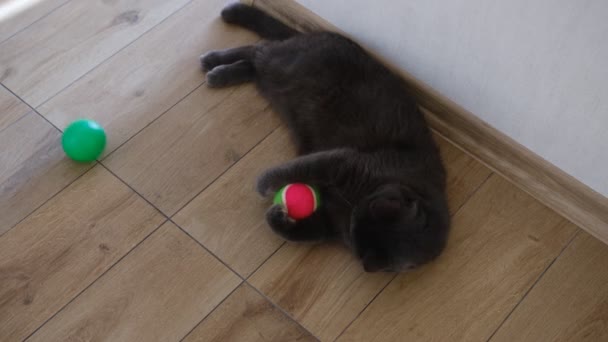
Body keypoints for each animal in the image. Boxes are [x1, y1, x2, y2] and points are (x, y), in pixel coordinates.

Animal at [202, 1, 448, 272]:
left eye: (355, 229)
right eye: (368, 207)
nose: (354, 213)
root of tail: (321, 35)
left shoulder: (330, 223)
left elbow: (303, 232)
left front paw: (276, 215)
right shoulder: (342, 162)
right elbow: (299, 168)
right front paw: (264, 185)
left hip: (277, 78)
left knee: (255, 64)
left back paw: (220, 70)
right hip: (287, 66)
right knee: (258, 50)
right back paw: (214, 61)